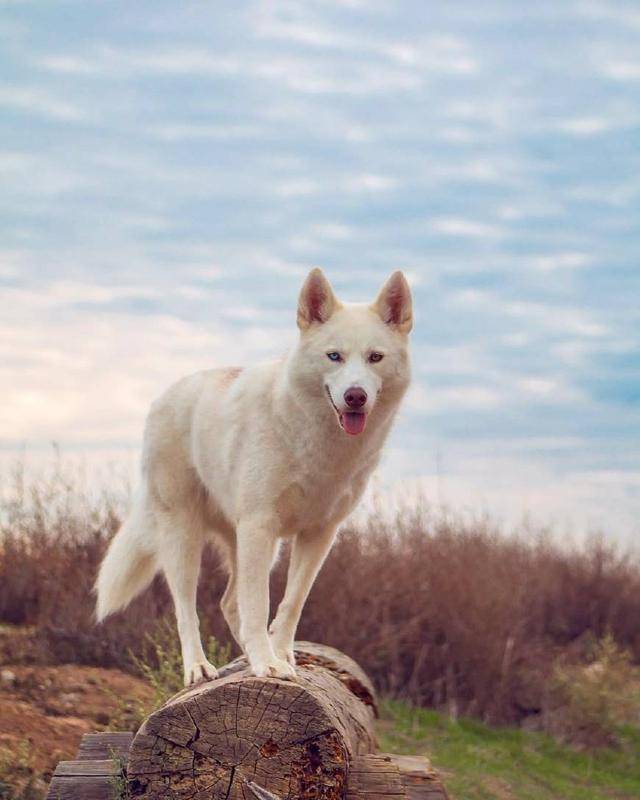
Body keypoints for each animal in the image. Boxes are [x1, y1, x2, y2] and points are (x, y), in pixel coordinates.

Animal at [97, 268, 412, 680]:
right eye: (335, 356)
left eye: (375, 357)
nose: (355, 396)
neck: (320, 444)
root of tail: (165, 395)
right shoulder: (260, 526)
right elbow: (259, 604)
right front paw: (268, 664)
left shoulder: (318, 535)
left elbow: (291, 603)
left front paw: (281, 657)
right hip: (186, 538)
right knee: (187, 608)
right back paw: (199, 668)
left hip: (248, 542)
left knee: (229, 603)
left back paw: (246, 656)